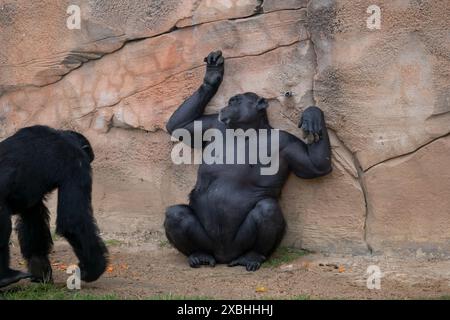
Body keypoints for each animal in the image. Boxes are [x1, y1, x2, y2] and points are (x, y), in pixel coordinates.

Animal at [0, 125, 108, 288]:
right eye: (89, 158)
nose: (92, 159)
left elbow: (33, 215)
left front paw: (39, 267)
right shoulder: (77, 165)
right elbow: (73, 220)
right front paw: (93, 268)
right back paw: (6, 276)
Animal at [163, 51, 332, 272]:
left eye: (235, 101)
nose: (225, 106)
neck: (247, 130)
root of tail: (224, 257)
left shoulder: (287, 143)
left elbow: (316, 166)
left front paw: (313, 114)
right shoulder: (212, 124)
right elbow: (180, 127)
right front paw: (213, 75)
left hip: (239, 244)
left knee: (267, 209)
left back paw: (252, 257)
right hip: (208, 243)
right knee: (175, 214)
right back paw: (198, 255)